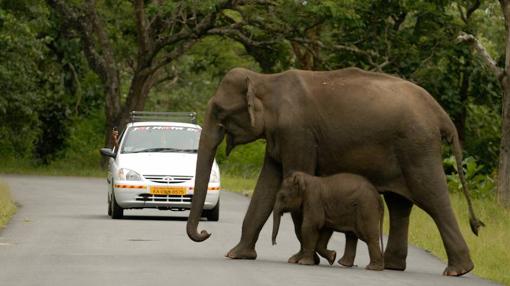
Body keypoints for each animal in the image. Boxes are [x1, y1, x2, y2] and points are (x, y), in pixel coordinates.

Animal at [186, 67, 482, 278]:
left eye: (219, 111)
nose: (205, 233)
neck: (266, 80)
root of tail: (440, 113)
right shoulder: (279, 137)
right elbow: (266, 188)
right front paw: (237, 255)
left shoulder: (298, 134)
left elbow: (296, 178)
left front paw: (308, 259)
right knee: (400, 204)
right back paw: (392, 266)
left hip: (417, 148)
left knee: (431, 198)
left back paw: (458, 270)